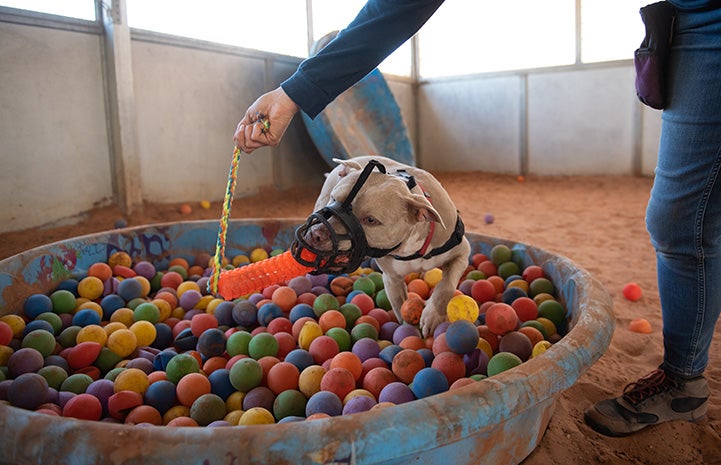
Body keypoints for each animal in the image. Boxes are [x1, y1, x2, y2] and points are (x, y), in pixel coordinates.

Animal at [300, 156, 470, 338]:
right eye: (334, 199)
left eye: (371, 220)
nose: (315, 234)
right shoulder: (392, 279)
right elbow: (400, 306)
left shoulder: (462, 253)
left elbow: (446, 285)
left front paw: (432, 315)